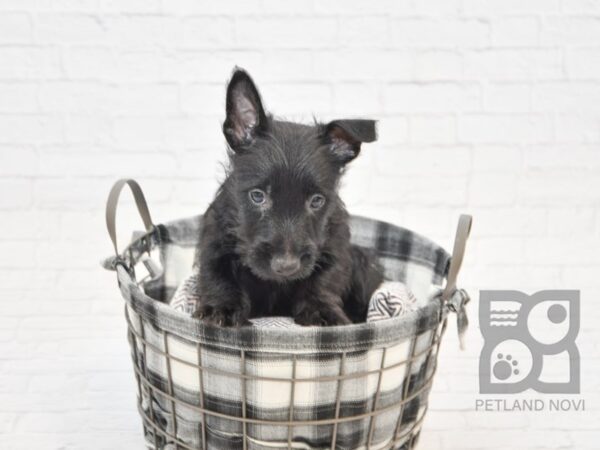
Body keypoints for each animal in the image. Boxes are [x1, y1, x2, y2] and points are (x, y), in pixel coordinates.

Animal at [195, 67, 386, 326]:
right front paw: (221, 307)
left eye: (316, 201)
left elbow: (325, 278)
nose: (286, 266)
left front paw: (321, 309)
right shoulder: (216, 238)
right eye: (258, 196)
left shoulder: (335, 245)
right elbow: (216, 272)